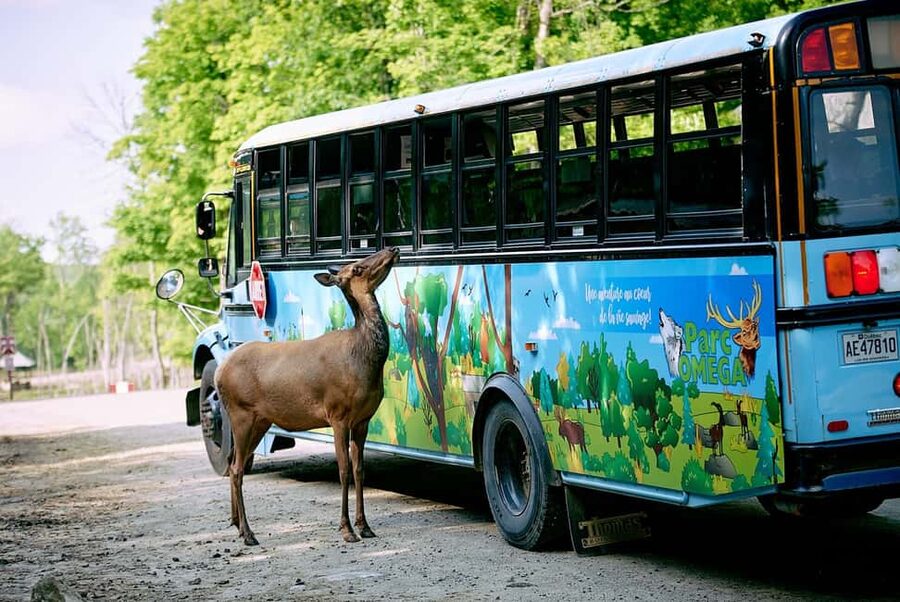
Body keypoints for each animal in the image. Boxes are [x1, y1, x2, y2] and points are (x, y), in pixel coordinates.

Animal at [215, 246, 399, 545]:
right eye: (357, 268)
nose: (392, 249)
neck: (364, 362)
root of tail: (219, 372)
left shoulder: (363, 419)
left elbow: (359, 470)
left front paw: (365, 526)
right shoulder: (338, 413)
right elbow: (344, 470)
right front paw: (346, 529)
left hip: (260, 420)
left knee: (233, 463)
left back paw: (236, 525)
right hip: (241, 414)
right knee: (237, 468)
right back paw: (248, 533)